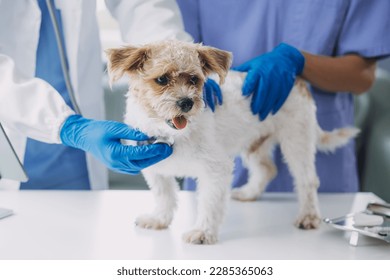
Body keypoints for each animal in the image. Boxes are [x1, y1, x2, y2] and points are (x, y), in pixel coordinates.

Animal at [105, 40, 358, 244]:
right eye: (162, 79)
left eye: (194, 79)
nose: (186, 102)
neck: (172, 135)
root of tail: (297, 79)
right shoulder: (154, 167)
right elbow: (164, 195)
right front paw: (159, 219)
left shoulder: (216, 170)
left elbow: (209, 202)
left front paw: (203, 232)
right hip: (255, 143)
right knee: (267, 168)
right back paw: (249, 193)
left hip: (296, 141)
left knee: (307, 180)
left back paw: (308, 216)